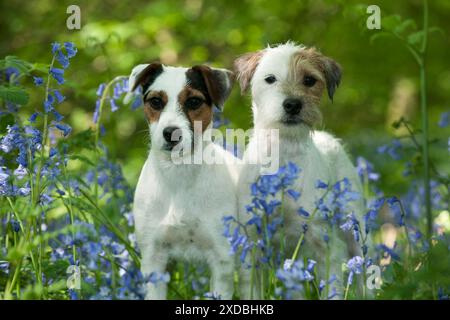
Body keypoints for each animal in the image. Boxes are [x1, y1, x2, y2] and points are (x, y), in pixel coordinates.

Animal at [128, 62, 237, 300]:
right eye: (156, 101)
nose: (171, 133)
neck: (178, 173)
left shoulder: (222, 260)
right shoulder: (153, 259)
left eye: (194, 101)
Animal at [234, 42, 364, 298]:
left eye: (309, 80)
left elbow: (332, 287)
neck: (284, 152)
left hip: (355, 230)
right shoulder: (252, 241)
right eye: (270, 79)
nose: (293, 104)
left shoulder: (324, 243)